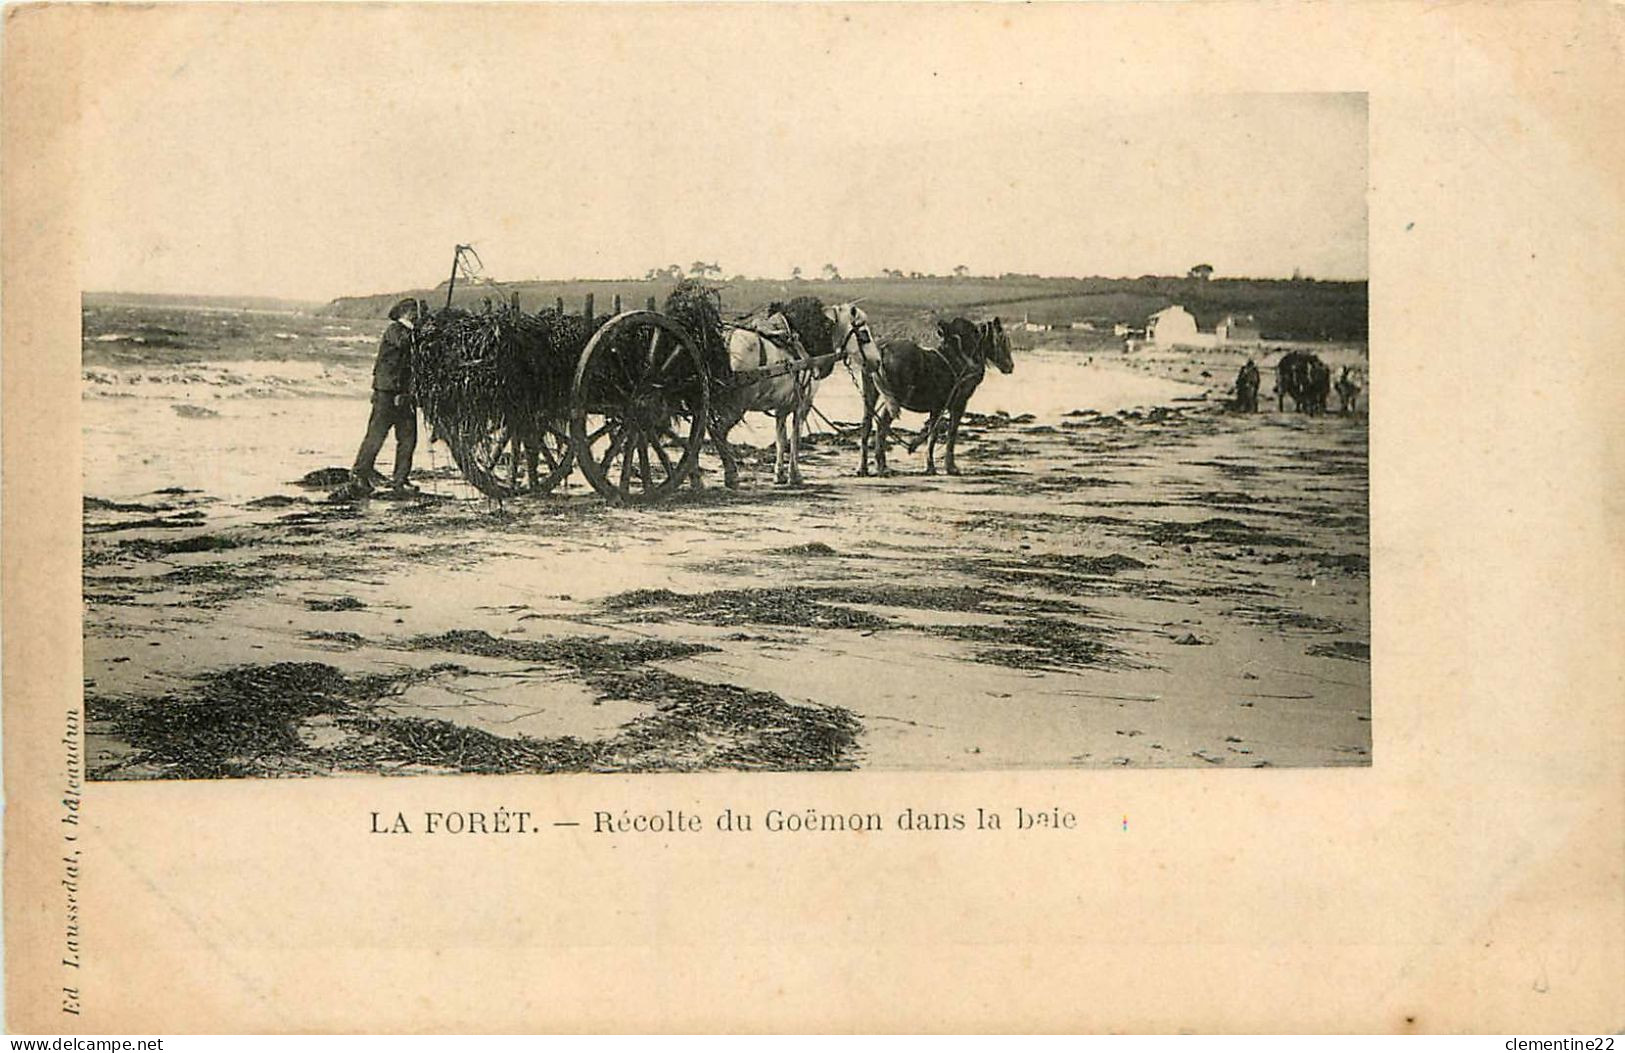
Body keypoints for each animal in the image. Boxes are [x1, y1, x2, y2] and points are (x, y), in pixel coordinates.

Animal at [851, 315, 1014, 474]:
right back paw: (882, 466)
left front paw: (931, 465)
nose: (1010, 366)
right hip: (895, 399)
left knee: (867, 425)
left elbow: (932, 433)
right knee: (882, 425)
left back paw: (864, 468)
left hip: (871, 394)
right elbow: (948, 434)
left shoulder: (937, 407)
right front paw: (947, 467)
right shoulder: (958, 404)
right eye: (1003, 339)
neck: (962, 358)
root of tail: (882, 350)